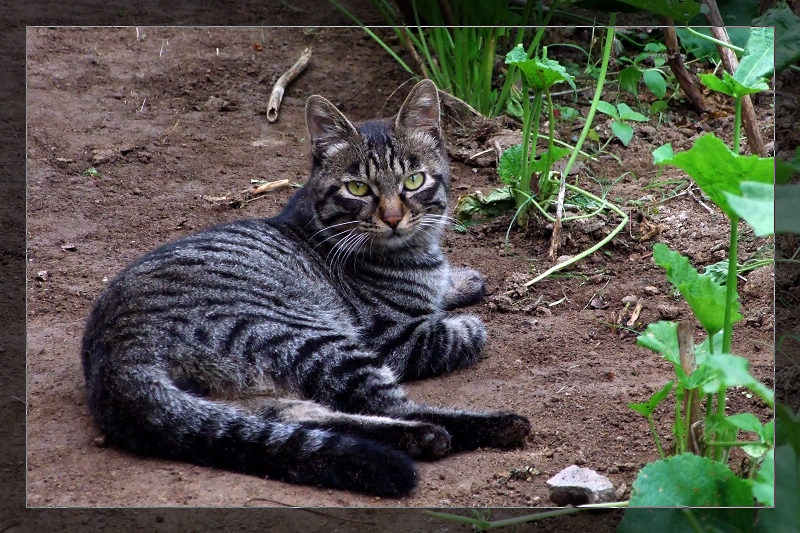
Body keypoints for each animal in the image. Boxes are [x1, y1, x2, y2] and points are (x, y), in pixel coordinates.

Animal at [83, 81, 532, 496]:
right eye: (358, 189)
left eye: (414, 180)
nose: (392, 218)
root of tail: (113, 356)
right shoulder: (393, 338)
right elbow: (459, 333)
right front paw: (465, 319)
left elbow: (443, 285)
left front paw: (461, 280)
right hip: (307, 337)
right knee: (392, 405)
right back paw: (477, 427)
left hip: (248, 392)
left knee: (302, 417)